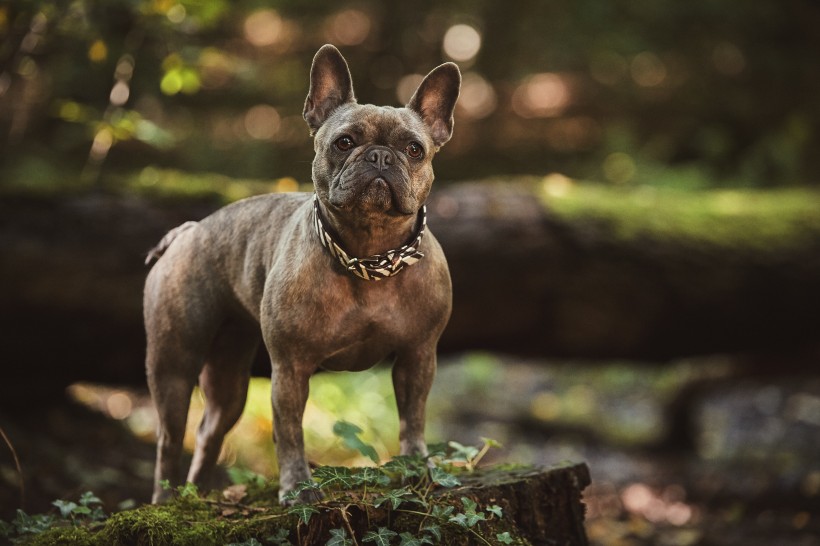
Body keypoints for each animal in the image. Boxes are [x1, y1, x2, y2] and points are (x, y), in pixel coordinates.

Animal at [143, 43, 458, 502]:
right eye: (344, 143)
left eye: (415, 149)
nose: (380, 155)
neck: (369, 254)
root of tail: (189, 231)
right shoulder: (290, 368)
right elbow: (289, 431)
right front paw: (297, 487)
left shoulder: (418, 357)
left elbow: (412, 418)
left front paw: (417, 467)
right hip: (174, 365)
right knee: (169, 439)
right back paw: (166, 502)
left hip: (229, 376)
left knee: (209, 431)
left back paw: (196, 496)